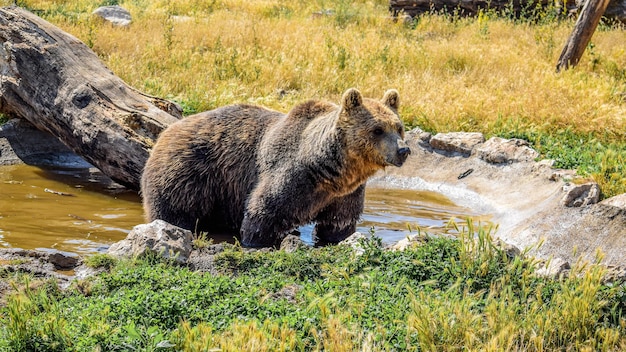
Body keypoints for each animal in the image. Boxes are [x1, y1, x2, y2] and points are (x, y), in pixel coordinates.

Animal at [143, 88, 410, 248]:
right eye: (377, 129)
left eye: (398, 127)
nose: (403, 150)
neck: (332, 173)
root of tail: (167, 131)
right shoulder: (290, 177)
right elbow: (263, 213)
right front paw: (256, 242)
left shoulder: (345, 195)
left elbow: (338, 224)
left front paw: (337, 239)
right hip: (189, 174)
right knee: (174, 212)